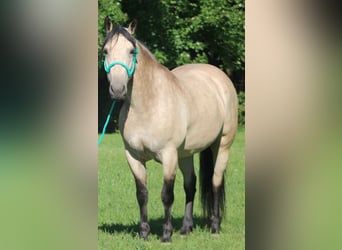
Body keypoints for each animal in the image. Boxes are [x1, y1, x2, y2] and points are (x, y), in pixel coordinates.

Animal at [101, 18, 238, 242]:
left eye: (131, 51)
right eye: (105, 51)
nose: (118, 89)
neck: (148, 104)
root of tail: (219, 76)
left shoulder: (168, 155)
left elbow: (167, 195)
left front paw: (166, 235)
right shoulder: (133, 157)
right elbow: (142, 194)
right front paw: (144, 233)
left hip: (222, 145)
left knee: (215, 181)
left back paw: (214, 227)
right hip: (186, 154)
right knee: (191, 185)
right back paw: (186, 228)